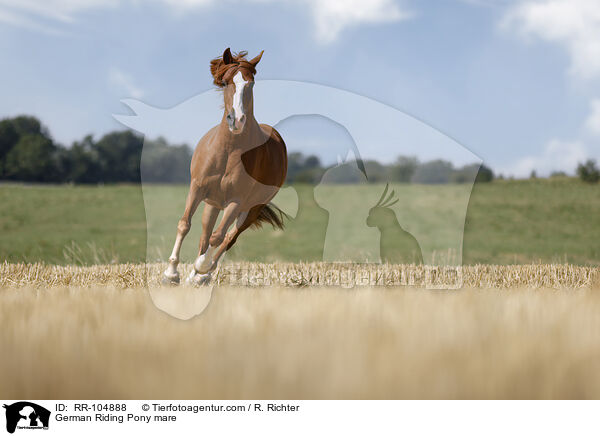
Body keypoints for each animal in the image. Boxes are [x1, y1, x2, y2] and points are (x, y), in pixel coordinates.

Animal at [163, 48, 288, 286]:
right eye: (224, 82)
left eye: (250, 83)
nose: (236, 120)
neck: (229, 150)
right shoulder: (197, 188)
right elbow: (185, 224)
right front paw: (171, 274)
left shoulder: (236, 201)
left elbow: (218, 238)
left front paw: (201, 268)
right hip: (212, 204)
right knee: (204, 236)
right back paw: (193, 277)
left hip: (249, 210)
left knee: (228, 238)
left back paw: (203, 273)